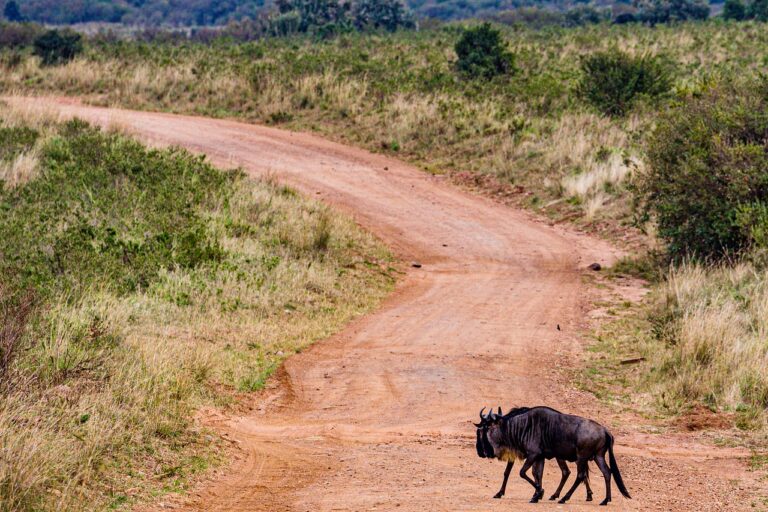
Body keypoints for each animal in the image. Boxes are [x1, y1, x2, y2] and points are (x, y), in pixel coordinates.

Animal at [474, 406, 632, 506]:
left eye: (485, 429)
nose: (481, 453)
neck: (522, 426)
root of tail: (605, 430)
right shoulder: (539, 457)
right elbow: (537, 474)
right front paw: (536, 495)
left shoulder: (533, 455)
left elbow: (522, 473)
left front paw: (540, 492)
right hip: (598, 456)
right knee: (606, 472)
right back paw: (605, 500)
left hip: (582, 457)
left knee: (580, 475)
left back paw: (564, 498)